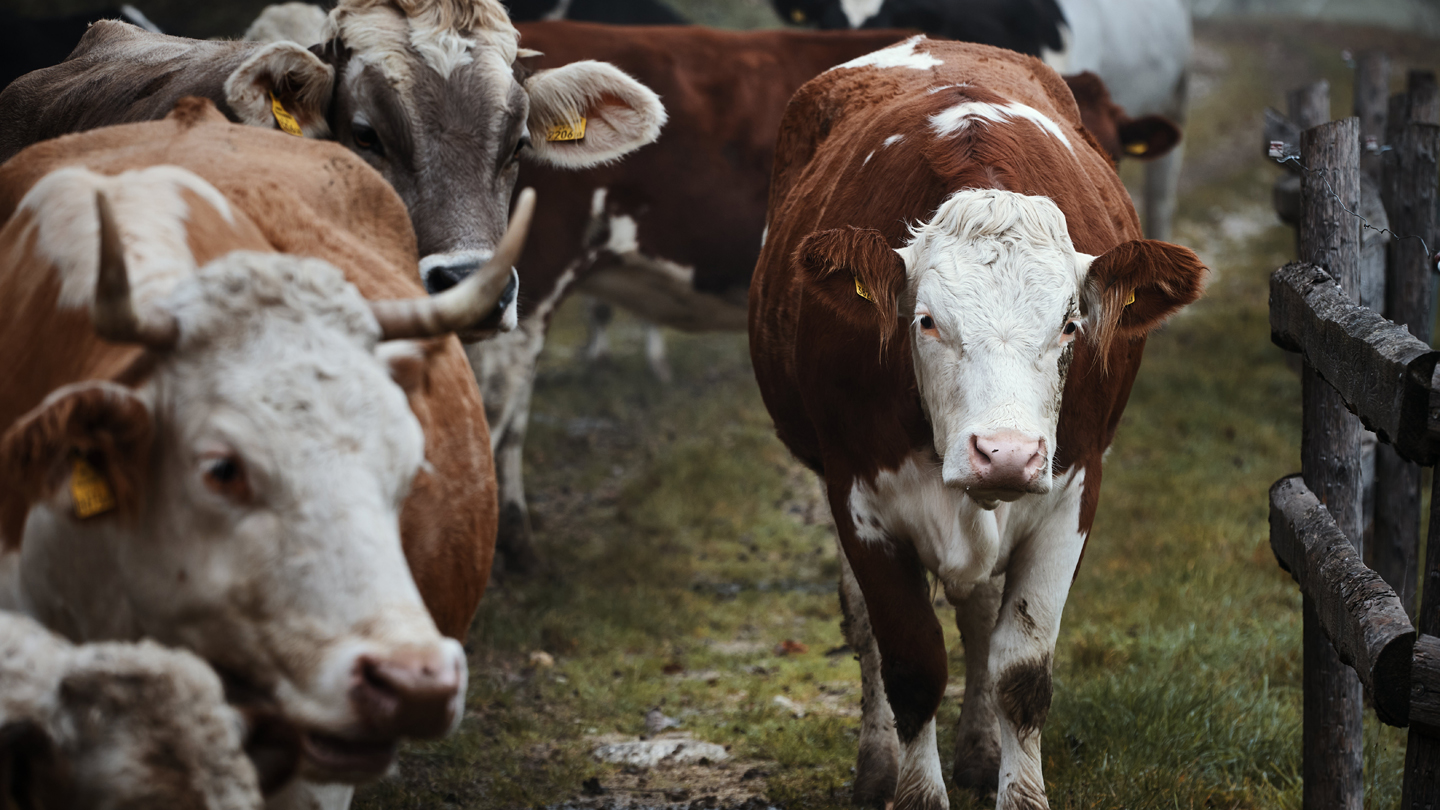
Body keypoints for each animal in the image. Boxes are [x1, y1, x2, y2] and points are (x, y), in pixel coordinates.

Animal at [748, 37, 1209, 807]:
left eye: (1070, 324)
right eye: (926, 321)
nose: (1006, 453)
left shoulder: (1071, 491)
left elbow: (1019, 670)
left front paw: (1014, 782)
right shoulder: (859, 497)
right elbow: (910, 667)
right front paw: (914, 789)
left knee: (980, 614)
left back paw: (979, 750)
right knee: (865, 628)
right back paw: (877, 766)